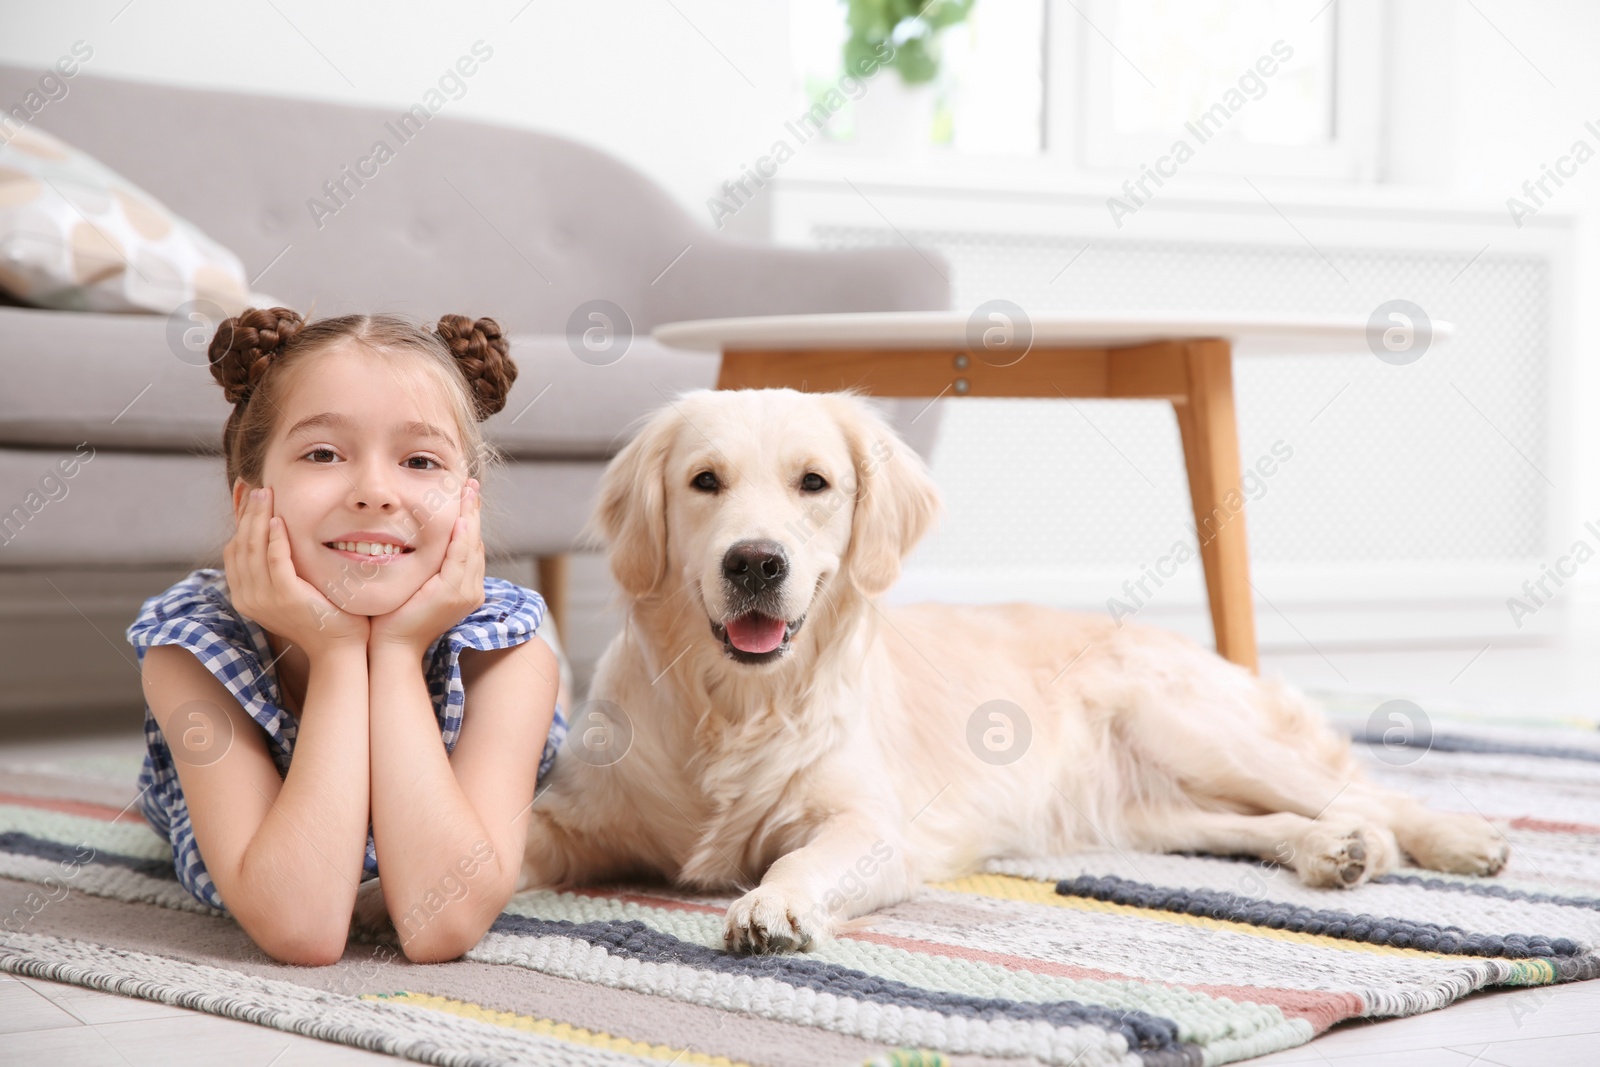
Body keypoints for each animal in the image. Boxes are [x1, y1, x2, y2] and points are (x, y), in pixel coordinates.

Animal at [515, 388, 1510, 953]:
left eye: (814, 483)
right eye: (705, 481)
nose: (756, 561)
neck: (735, 705)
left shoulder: (867, 826)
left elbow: (804, 857)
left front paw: (773, 906)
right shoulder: (582, 816)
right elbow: (516, 841)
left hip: (1190, 728)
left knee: (1367, 792)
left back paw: (1455, 837)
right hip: (1146, 808)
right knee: (1269, 821)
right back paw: (1332, 850)